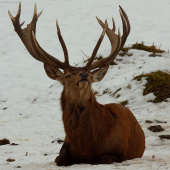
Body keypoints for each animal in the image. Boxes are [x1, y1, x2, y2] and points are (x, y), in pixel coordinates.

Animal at [8, 2, 145, 166]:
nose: (84, 75)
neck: (87, 146)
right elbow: (59, 159)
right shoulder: (64, 149)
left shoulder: (119, 151)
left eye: (91, 76)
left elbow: (104, 158)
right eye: (67, 75)